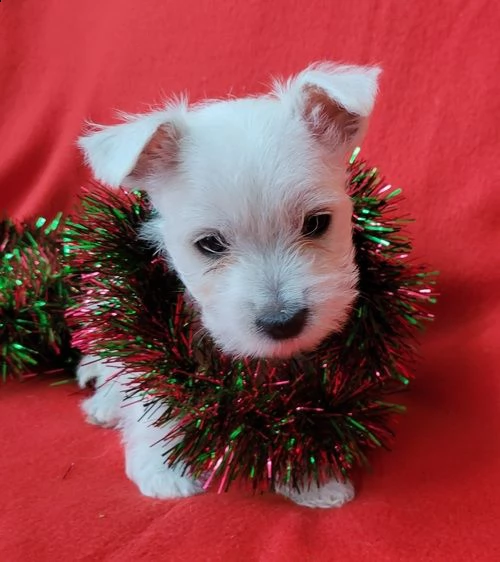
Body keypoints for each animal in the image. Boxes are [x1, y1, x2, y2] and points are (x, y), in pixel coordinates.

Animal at [76, 62, 380, 508]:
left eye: (317, 223)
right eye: (210, 244)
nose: (283, 323)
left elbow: (298, 410)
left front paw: (312, 477)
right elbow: (155, 397)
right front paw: (163, 469)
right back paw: (105, 403)